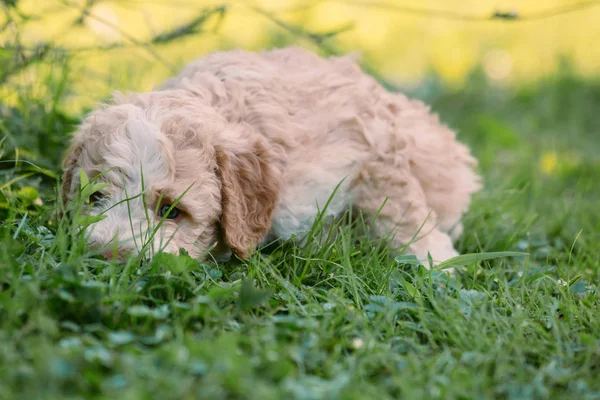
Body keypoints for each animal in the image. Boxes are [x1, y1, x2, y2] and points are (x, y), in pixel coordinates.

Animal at [61, 47, 480, 264]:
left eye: (171, 212)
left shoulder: (373, 150)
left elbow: (403, 215)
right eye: (95, 198)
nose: (109, 257)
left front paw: (439, 264)